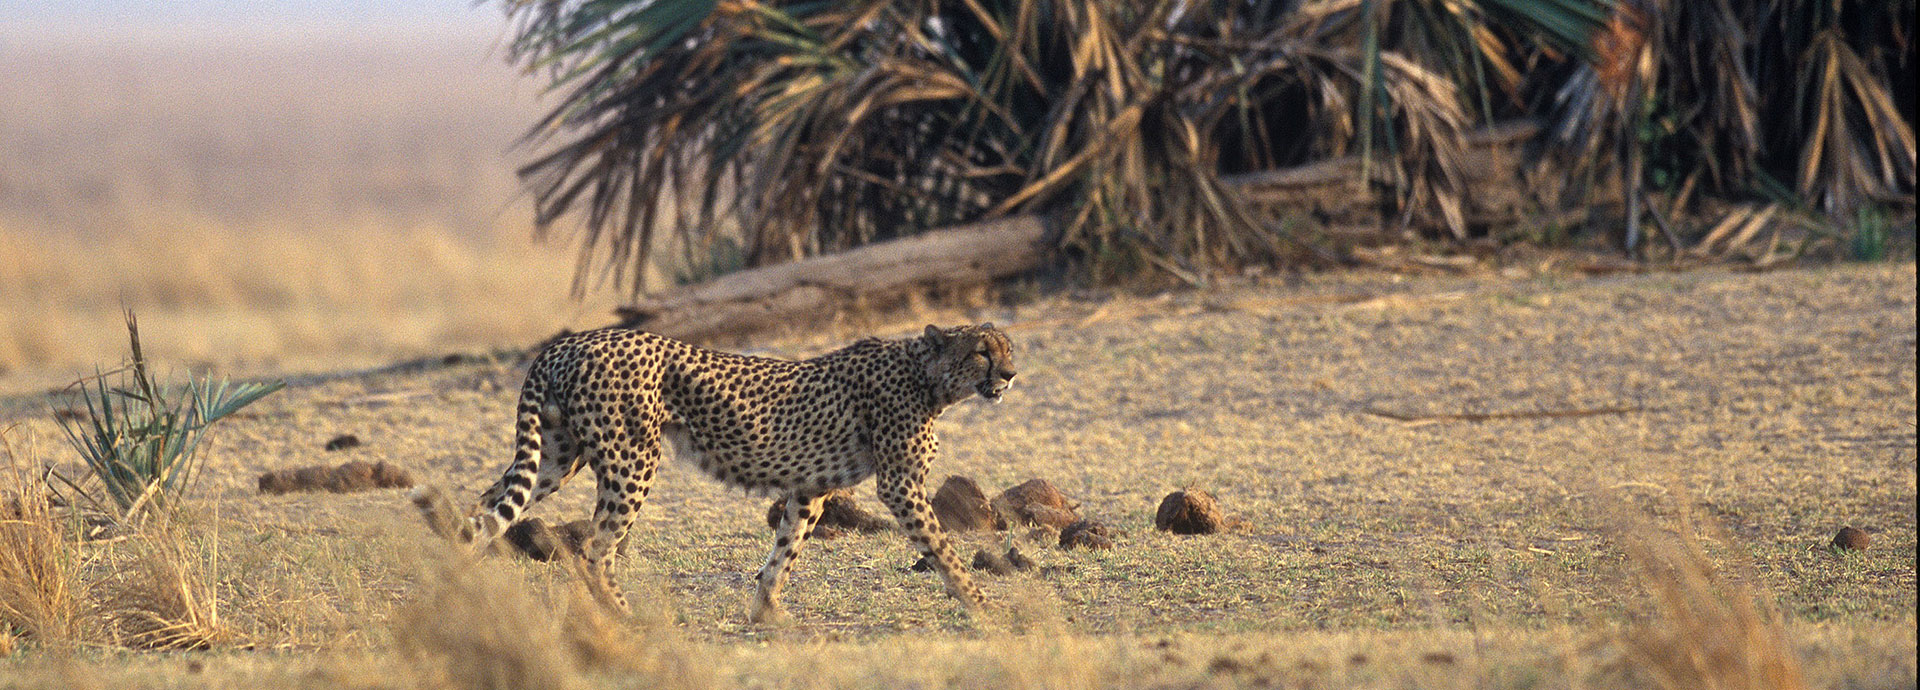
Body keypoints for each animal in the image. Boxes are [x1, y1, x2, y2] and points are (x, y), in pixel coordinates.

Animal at [440, 323, 1017, 624]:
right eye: (981, 351)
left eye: (1008, 349)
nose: (1011, 375)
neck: (928, 377)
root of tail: (572, 340)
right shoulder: (900, 485)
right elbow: (942, 548)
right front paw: (981, 603)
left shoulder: (810, 487)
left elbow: (784, 550)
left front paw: (768, 613)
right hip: (630, 460)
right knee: (593, 548)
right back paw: (627, 614)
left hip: (559, 456)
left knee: (483, 510)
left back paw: (461, 588)